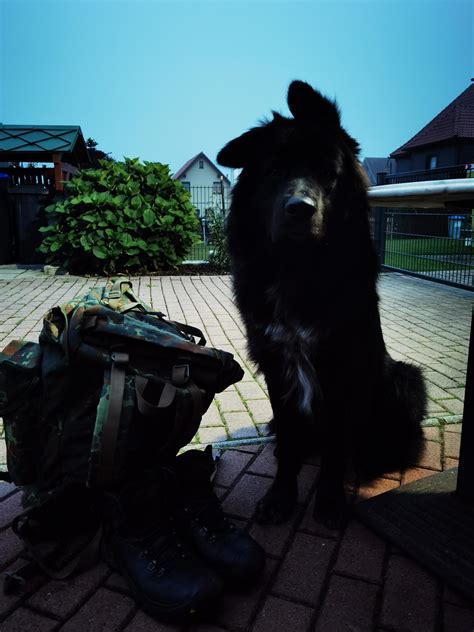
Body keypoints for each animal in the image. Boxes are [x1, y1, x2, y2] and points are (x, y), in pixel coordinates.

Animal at [218, 79, 426, 524]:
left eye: (327, 174)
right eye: (275, 171)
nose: (300, 209)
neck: (299, 267)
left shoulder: (344, 367)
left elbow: (334, 449)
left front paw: (330, 501)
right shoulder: (276, 363)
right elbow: (289, 441)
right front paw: (281, 496)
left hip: (405, 379)